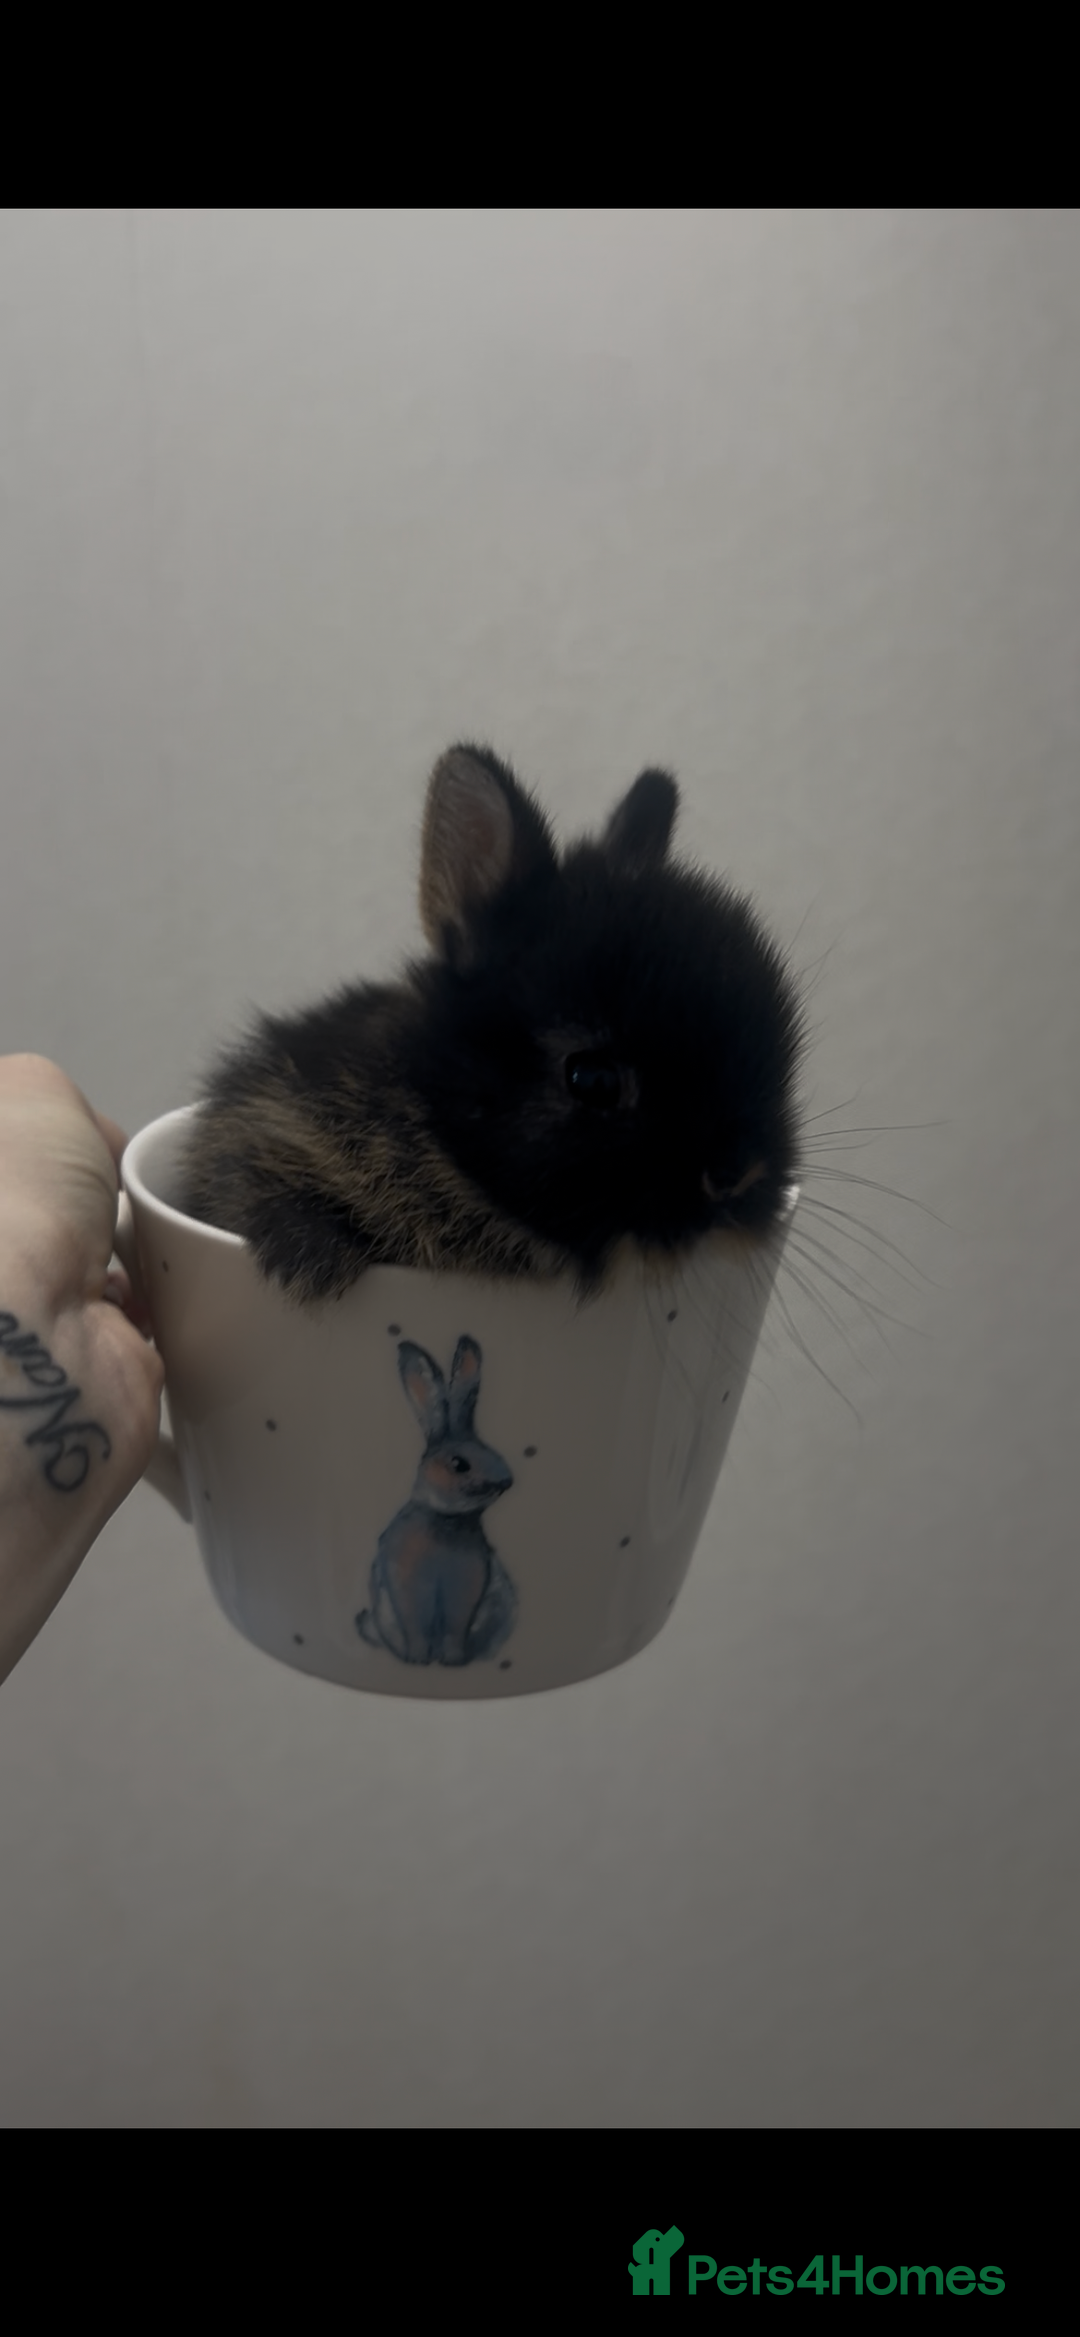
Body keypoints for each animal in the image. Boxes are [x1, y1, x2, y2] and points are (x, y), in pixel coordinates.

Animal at [357, 1335, 516, 1667]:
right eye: (459, 1464)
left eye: (490, 1449)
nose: (507, 1482)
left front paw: (452, 1661)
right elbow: (416, 1629)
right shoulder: (408, 1591)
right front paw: (418, 1659)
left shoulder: (464, 1597)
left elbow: (455, 1631)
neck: (445, 1520)